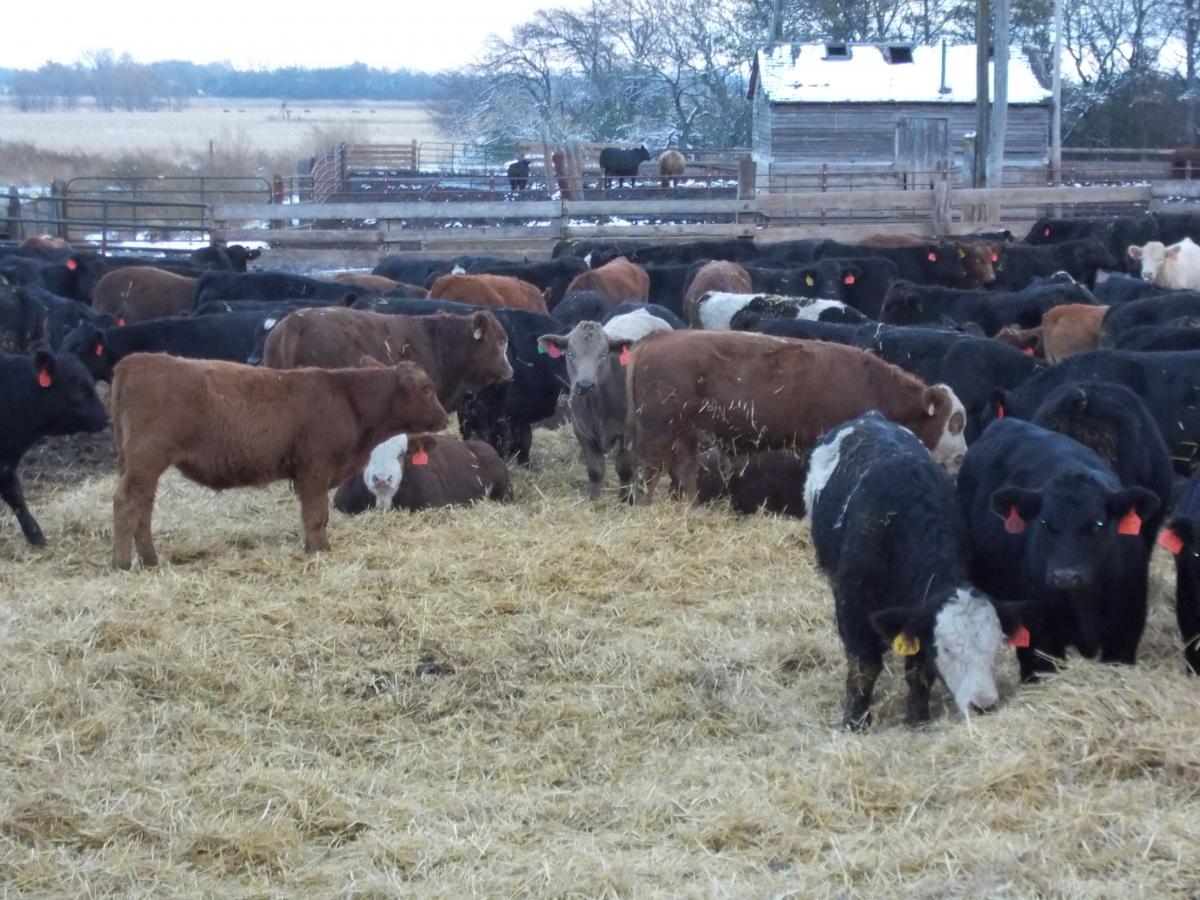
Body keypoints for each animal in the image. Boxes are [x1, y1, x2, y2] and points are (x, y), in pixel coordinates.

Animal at [110, 354, 447, 567]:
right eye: (427, 389)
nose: (444, 418)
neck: (347, 398)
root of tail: (136, 360)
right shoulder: (314, 471)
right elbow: (316, 515)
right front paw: (319, 550)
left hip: (142, 466)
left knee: (143, 507)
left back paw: (150, 560)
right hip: (146, 460)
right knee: (126, 503)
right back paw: (122, 563)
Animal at [625, 331, 967, 504]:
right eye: (956, 421)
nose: (963, 456)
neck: (872, 385)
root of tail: (653, 339)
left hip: (685, 431)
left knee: (685, 470)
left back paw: (691, 508)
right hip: (658, 430)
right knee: (648, 472)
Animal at [807, 412, 1023, 728]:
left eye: (995, 646)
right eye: (946, 648)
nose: (983, 705)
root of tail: (869, 417)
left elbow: (919, 669)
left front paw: (917, 716)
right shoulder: (852, 608)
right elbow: (864, 666)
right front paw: (855, 720)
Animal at [958, 417, 1159, 681]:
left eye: (1098, 524)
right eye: (1044, 523)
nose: (1065, 576)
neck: (1085, 603)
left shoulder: (1125, 630)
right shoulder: (1040, 634)